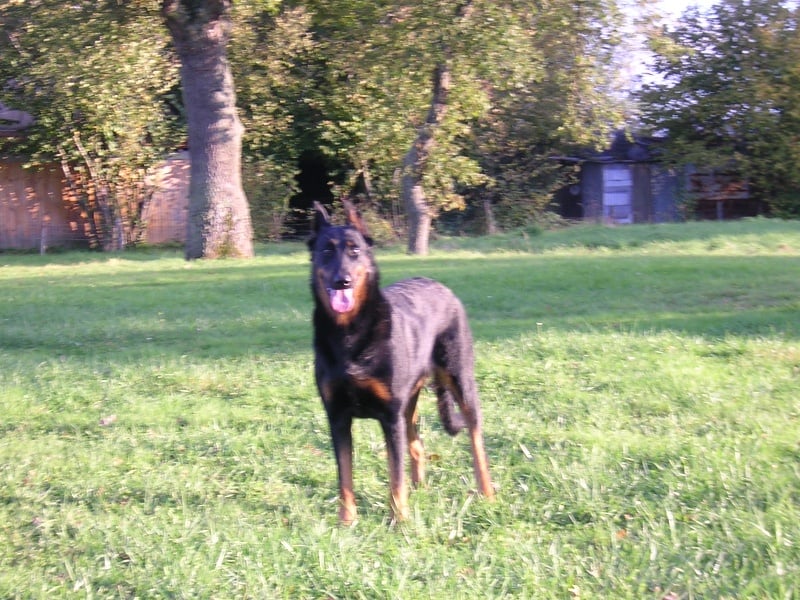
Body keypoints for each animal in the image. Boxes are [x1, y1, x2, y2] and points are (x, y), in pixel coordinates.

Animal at [308, 202, 490, 524]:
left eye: (355, 250)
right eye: (326, 251)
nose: (342, 281)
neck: (349, 333)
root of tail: (440, 286)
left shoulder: (389, 417)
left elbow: (395, 476)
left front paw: (400, 521)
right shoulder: (338, 417)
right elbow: (345, 477)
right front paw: (347, 521)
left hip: (460, 382)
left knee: (476, 439)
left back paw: (488, 493)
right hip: (410, 404)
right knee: (417, 445)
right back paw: (420, 488)